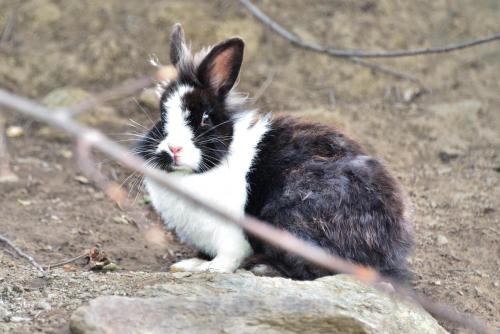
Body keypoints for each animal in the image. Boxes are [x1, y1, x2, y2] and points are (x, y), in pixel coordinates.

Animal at [135, 24, 412, 280]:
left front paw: (211, 269)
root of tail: (389, 247)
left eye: (204, 118)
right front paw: (190, 264)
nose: (173, 149)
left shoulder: (231, 233)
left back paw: (263, 267)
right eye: (162, 117)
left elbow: (228, 256)